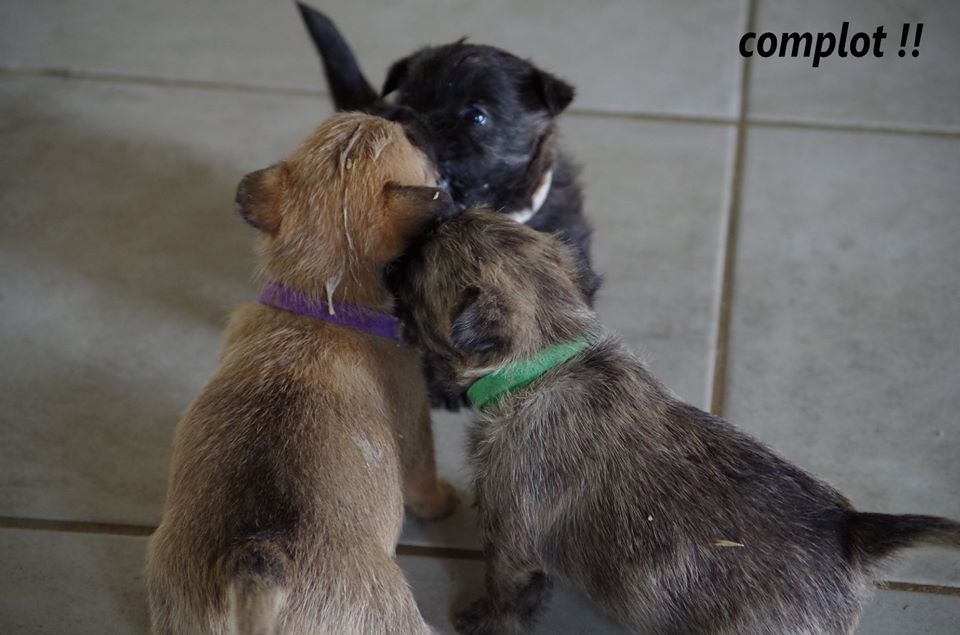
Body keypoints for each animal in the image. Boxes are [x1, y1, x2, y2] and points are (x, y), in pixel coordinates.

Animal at [146, 113, 459, 635]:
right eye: (414, 141)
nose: (412, 121)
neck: (317, 301)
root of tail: (259, 558)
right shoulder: (416, 427)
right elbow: (424, 481)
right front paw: (443, 502)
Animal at [387, 207, 960, 635]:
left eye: (422, 261)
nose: (434, 210)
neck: (546, 360)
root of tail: (851, 532)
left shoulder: (508, 537)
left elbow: (504, 590)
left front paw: (483, 620)